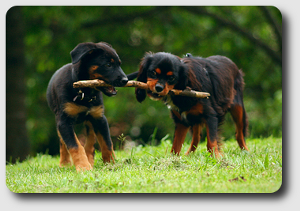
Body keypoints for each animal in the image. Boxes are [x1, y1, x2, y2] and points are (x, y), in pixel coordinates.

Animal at [46, 41, 128, 171]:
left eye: (119, 64)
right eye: (108, 65)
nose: (126, 80)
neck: (85, 92)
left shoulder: (100, 118)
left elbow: (107, 144)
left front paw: (110, 164)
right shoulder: (64, 122)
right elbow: (75, 146)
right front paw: (84, 167)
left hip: (91, 119)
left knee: (91, 141)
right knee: (63, 143)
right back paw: (65, 163)